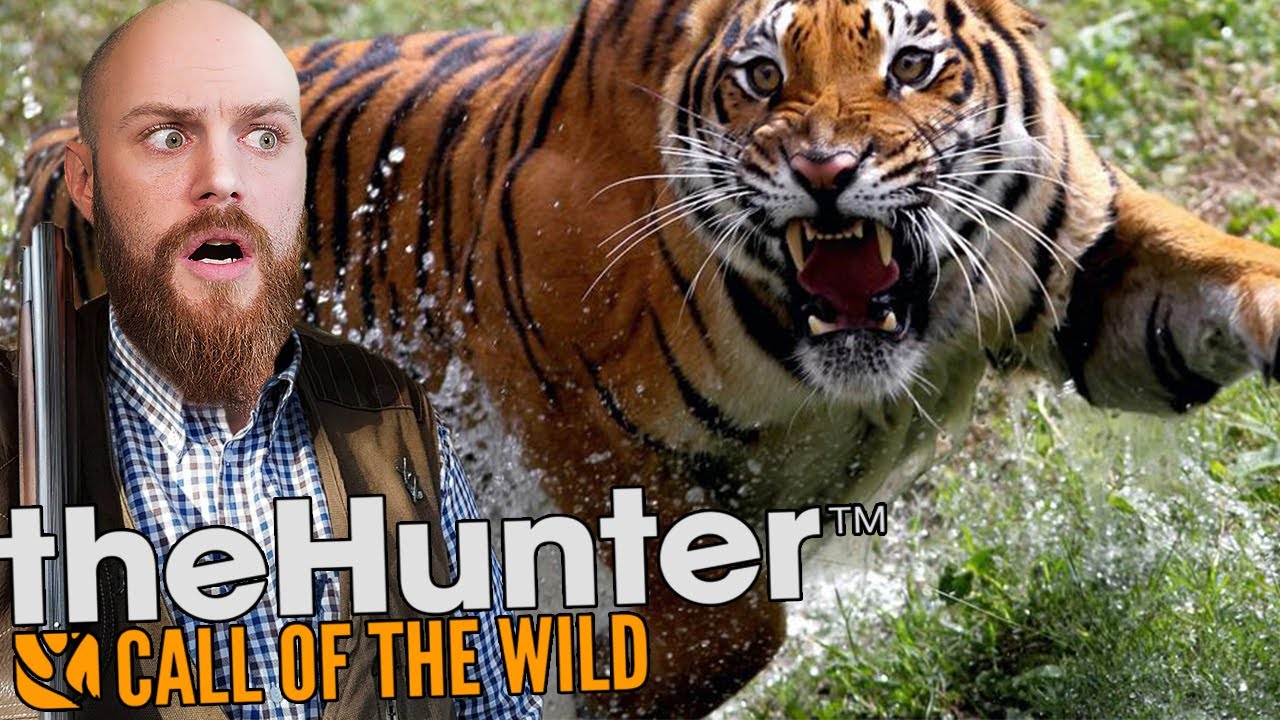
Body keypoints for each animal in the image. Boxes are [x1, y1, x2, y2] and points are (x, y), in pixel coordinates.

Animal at [18, 0, 1280, 715]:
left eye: (913, 67)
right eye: (762, 79)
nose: (827, 170)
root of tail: (57, 140)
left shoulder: (1085, 266)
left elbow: (1215, 266)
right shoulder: (545, 400)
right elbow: (724, 613)